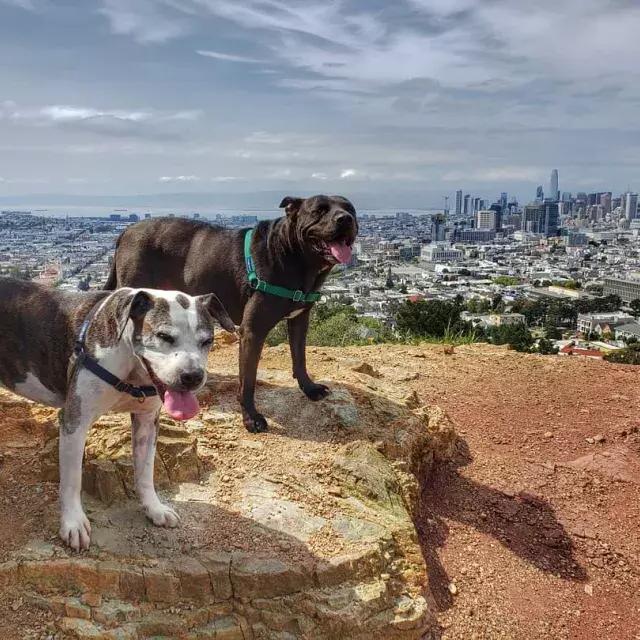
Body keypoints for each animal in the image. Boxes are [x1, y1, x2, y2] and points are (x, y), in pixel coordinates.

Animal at [0, 278, 234, 552]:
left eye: (207, 341)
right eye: (164, 336)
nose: (193, 376)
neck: (132, 364)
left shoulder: (147, 421)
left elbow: (145, 471)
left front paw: (154, 508)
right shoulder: (74, 422)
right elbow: (72, 479)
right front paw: (73, 523)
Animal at [102, 195, 358, 432]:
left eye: (350, 209)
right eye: (319, 210)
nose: (345, 219)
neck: (292, 255)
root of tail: (127, 230)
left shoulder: (299, 320)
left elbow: (300, 357)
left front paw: (309, 388)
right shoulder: (252, 331)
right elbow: (248, 380)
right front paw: (251, 418)